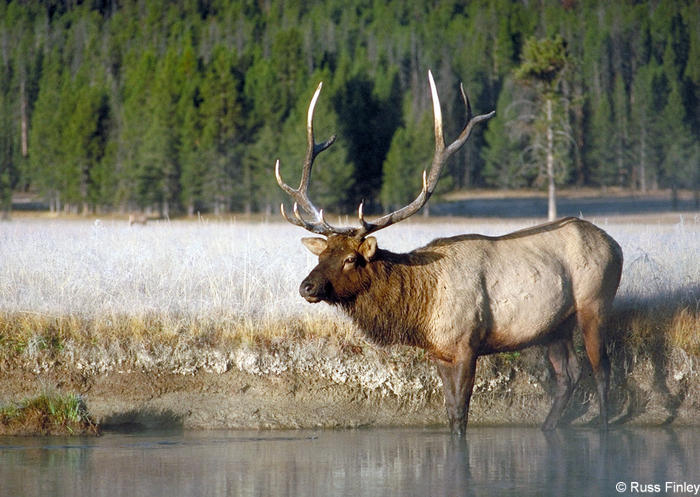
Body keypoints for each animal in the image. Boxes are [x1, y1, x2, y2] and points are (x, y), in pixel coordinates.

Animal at [275, 71, 623, 436]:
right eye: (321, 256)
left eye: (350, 259)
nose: (306, 287)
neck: (422, 306)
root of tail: (614, 244)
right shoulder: (438, 352)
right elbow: (450, 412)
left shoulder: (466, 346)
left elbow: (461, 416)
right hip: (555, 325)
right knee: (567, 374)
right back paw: (549, 426)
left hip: (594, 304)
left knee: (602, 369)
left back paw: (604, 429)